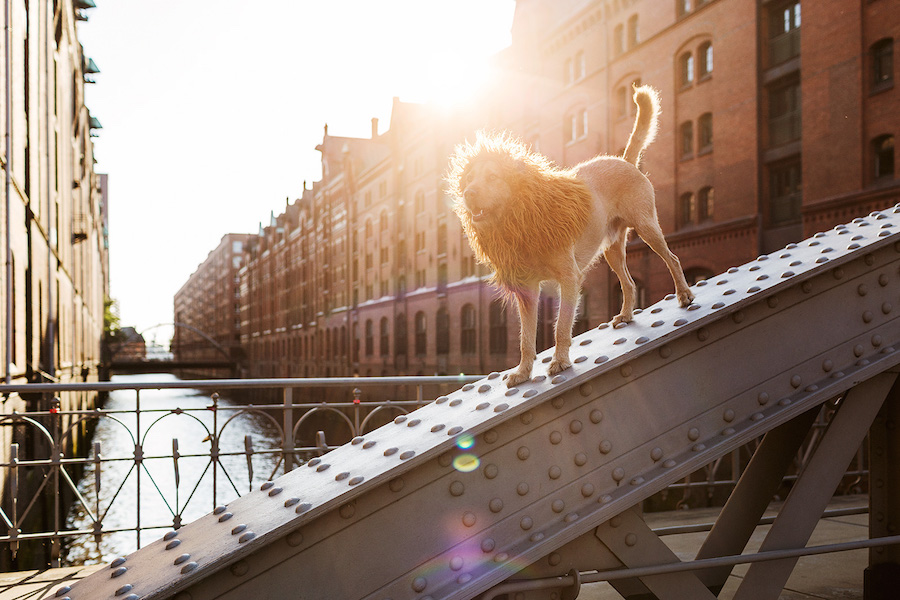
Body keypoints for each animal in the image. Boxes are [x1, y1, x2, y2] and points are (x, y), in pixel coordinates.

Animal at [450, 84, 696, 390]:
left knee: (672, 258)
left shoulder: (568, 279)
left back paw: (684, 295)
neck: (521, 220)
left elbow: (561, 326)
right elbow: (525, 339)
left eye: (493, 177)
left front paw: (560, 361)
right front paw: (523, 372)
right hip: (612, 250)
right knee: (628, 282)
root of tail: (625, 161)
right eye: (469, 178)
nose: (468, 193)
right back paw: (627, 315)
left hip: (647, 227)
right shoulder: (527, 291)